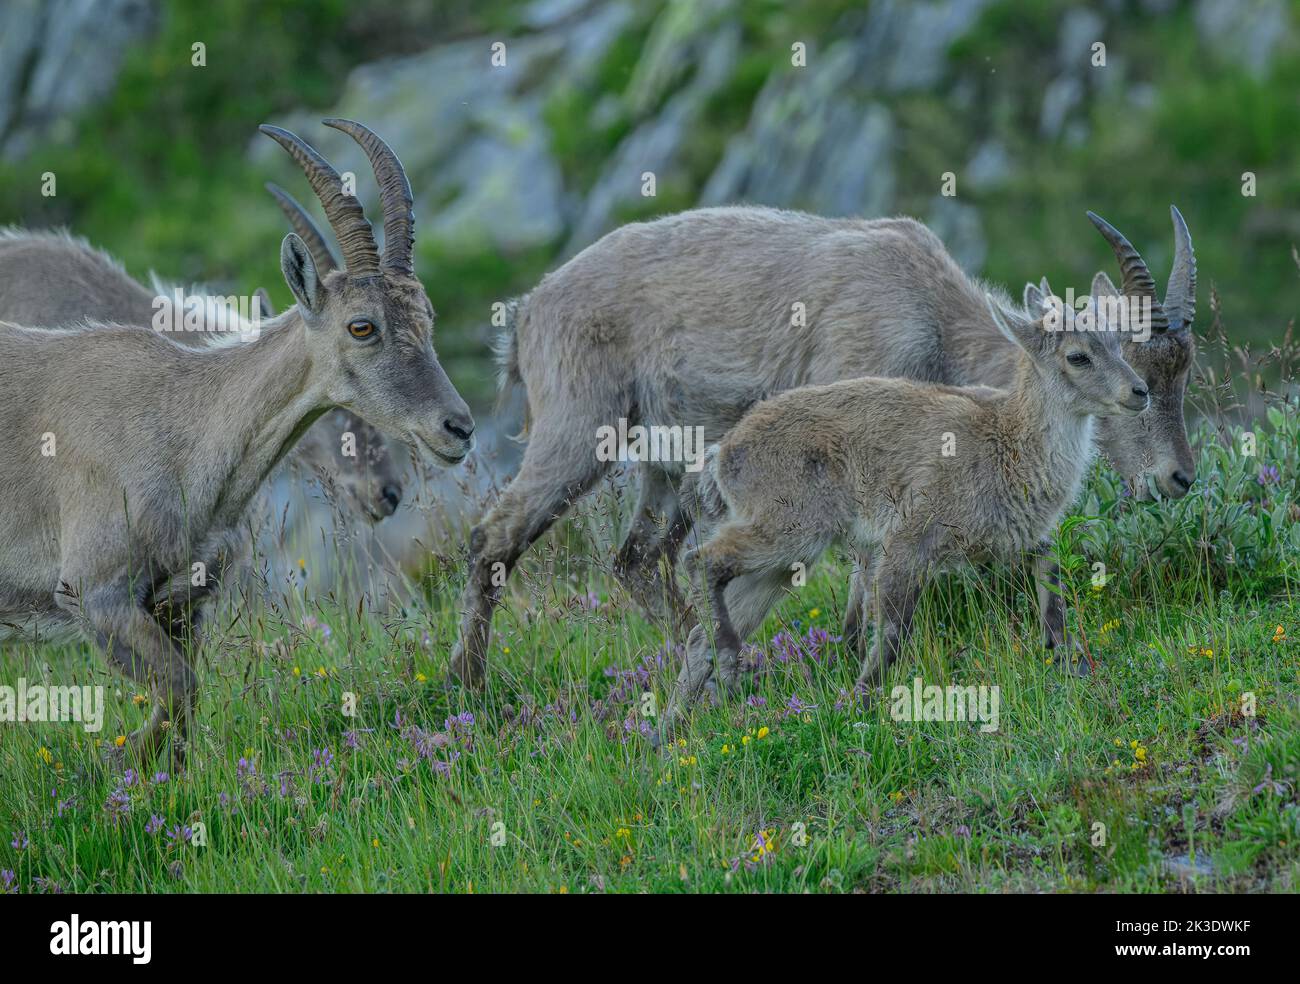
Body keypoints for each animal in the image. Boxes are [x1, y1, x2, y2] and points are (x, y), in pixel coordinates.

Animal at [0, 119, 474, 766]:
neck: (184, 432)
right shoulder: (95, 591)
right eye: (361, 325)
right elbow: (180, 691)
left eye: (427, 314)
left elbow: (181, 712)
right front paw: (112, 766)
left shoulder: (184, 606)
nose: (458, 428)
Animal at [452, 206, 1195, 687]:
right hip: (579, 428)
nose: (1179, 478)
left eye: (1180, 368)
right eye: (1103, 358)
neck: (928, 315)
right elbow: (870, 566)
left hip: (662, 466)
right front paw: (851, 651)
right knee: (495, 535)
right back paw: (471, 682)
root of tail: (527, 312)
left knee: (636, 557)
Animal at [658, 286, 1149, 734]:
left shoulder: (1024, 538)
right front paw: (858, 706)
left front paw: (1067, 659)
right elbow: (893, 634)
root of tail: (723, 454)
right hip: (788, 528)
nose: (1140, 391)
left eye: (1118, 343)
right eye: (1078, 356)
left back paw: (669, 733)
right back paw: (724, 668)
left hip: (782, 561)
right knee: (700, 560)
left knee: (702, 627)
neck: (1007, 442)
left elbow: (1053, 590)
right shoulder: (906, 539)